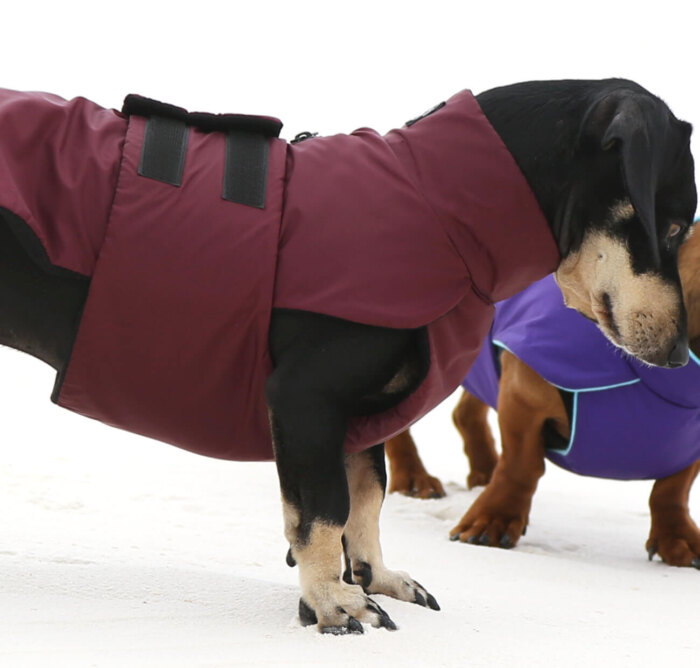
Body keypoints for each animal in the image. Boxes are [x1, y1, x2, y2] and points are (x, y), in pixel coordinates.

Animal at [386, 227, 700, 568]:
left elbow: (672, 490)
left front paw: (677, 538)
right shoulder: (523, 390)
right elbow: (522, 466)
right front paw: (492, 520)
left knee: (465, 413)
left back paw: (484, 470)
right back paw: (412, 479)